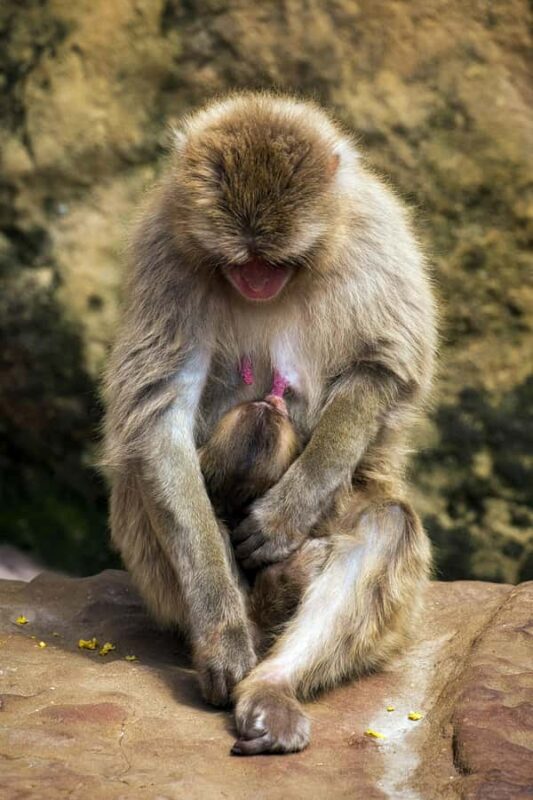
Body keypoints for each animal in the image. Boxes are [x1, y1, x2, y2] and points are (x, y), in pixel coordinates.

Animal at [103, 91, 436, 755]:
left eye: (275, 259)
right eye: (240, 260)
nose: (257, 280)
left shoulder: (375, 234)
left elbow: (382, 368)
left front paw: (285, 514)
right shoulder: (166, 249)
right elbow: (158, 415)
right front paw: (221, 635)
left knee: (386, 523)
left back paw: (273, 685)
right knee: (144, 474)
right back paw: (250, 619)